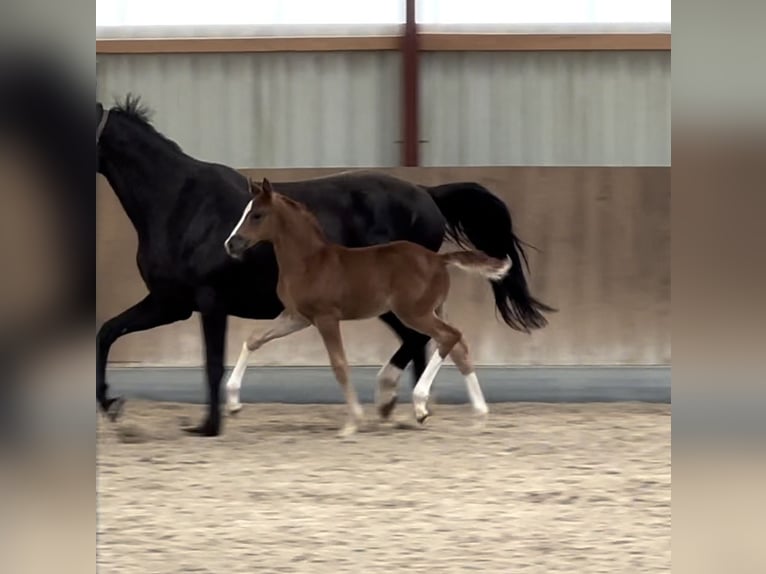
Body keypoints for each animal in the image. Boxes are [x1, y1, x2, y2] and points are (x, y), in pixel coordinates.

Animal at [224, 178, 510, 438]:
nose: (231, 244)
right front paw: (234, 405)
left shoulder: (326, 318)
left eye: (257, 215)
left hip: (414, 313)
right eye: (244, 213)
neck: (309, 262)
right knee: (457, 346)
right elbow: (254, 339)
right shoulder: (297, 317)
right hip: (432, 310)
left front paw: (352, 423)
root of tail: (438, 259)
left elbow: (339, 364)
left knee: (449, 336)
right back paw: (478, 417)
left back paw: (420, 404)